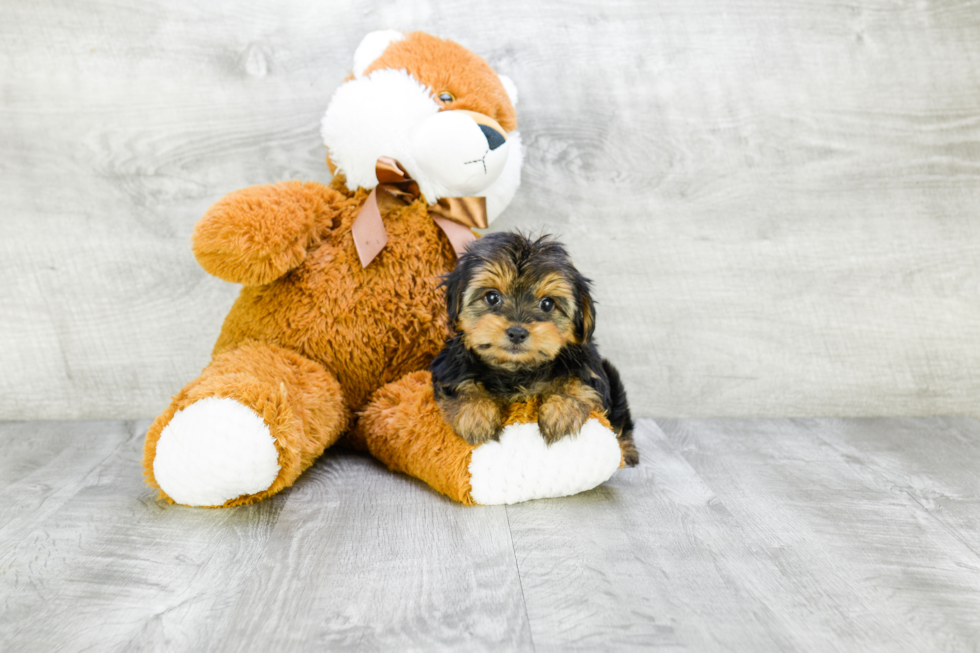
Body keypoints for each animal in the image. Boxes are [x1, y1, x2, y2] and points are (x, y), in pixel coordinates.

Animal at [426, 232, 636, 466]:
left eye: (547, 304)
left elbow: (579, 381)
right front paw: (475, 414)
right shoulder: (449, 364)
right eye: (492, 297)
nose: (517, 332)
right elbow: (460, 383)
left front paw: (561, 411)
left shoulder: (589, 364)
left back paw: (627, 451)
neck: (517, 369)